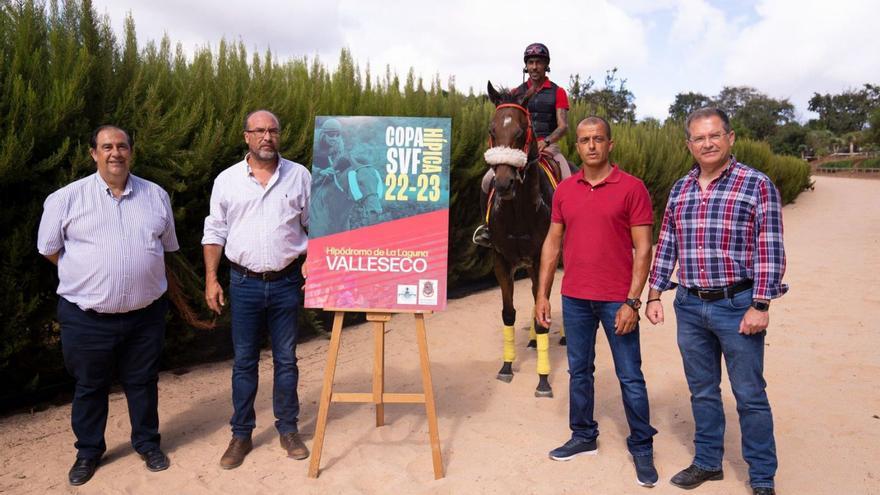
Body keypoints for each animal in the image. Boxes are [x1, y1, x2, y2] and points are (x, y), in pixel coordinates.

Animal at [482, 81, 564, 400]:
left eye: (520, 131)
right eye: (492, 129)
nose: (503, 183)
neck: (519, 209)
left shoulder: (544, 258)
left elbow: (543, 314)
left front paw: (543, 380)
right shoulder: (501, 260)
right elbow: (508, 313)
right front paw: (506, 366)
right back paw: (529, 340)